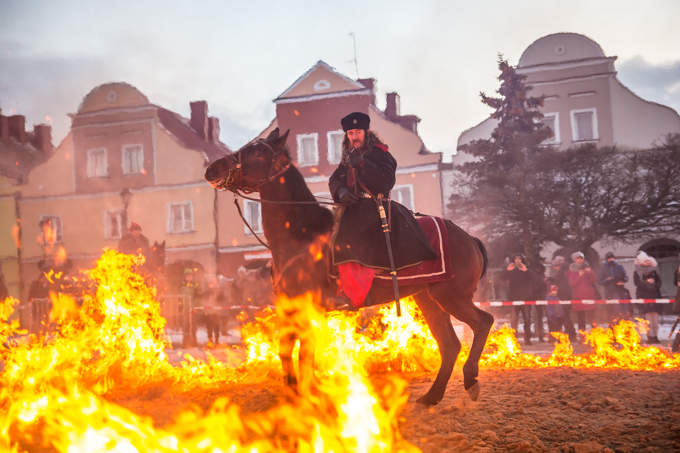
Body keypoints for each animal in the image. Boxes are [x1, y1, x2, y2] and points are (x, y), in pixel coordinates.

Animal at [203, 128, 494, 406]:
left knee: (483, 323)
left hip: (451, 297)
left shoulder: (308, 309)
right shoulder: (290, 307)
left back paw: (470, 378)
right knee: (450, 345)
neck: (300, 236)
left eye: (258, 153)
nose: (212, 169)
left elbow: (304, 355)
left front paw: (306, 397)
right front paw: (295, 393)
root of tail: (469, 238)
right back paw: (432, 396)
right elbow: (286, 351)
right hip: (429, 299)